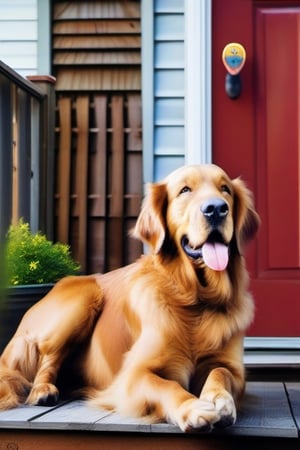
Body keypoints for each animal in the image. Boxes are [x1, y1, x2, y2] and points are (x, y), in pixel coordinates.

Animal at [0, 165, 258, 432]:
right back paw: (43, 389)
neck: (194, 300)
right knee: (47, 359)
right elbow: (167, 386)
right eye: (185, 190)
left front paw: (220, 400)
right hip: (84, 295)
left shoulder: (231, 367)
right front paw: (192, 408)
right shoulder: (134, 375)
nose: (216, 208)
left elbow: (220, 373)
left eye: (225, 189)